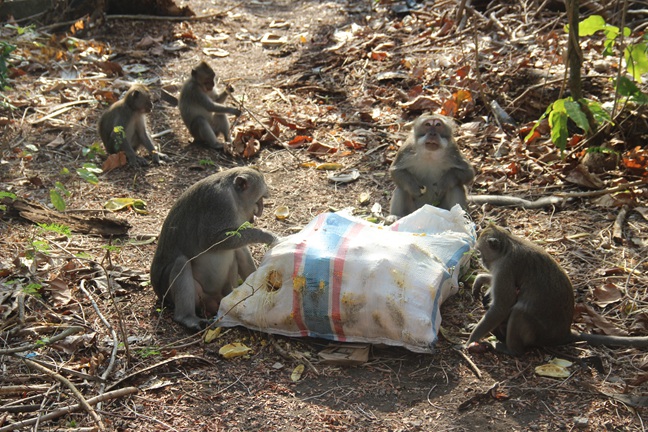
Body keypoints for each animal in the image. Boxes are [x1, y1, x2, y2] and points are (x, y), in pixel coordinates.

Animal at [151, 166, 280, 330]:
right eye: (259, 198)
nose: (260, 211)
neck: (233, 195)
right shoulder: (218, 202)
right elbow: (213, 240)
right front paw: (267, 236)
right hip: (175, 293)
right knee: (181, 262)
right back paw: (187, 317)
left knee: (238, 250)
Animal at [466, 224, 648, 356]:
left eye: (480, 252)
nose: (482, 261)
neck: (509, 244)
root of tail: (564, 333)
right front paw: (481, 279)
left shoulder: (506, 268)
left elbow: (501, 307)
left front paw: (470, 340)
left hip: (540, 333)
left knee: (519, 312)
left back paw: (511, 350)